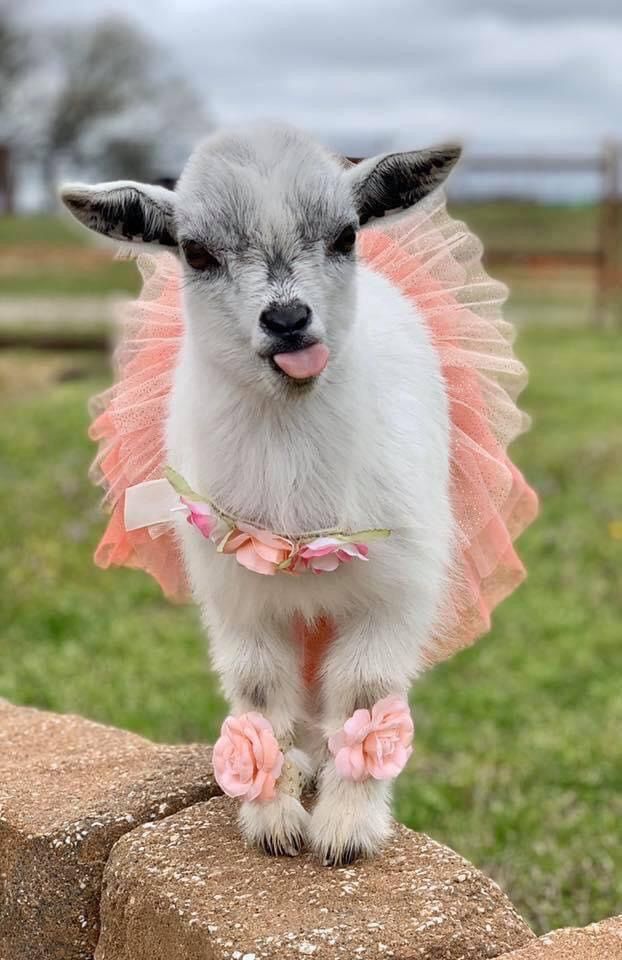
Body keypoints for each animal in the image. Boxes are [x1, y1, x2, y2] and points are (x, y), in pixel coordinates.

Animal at [62, 124, 464, 868]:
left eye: (345, 235)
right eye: (195, 251)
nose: (288, 318)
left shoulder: (395, 591)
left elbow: (365, 697)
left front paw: (346, 830)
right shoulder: (239, 598)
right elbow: (258, 695)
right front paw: (273, 819)